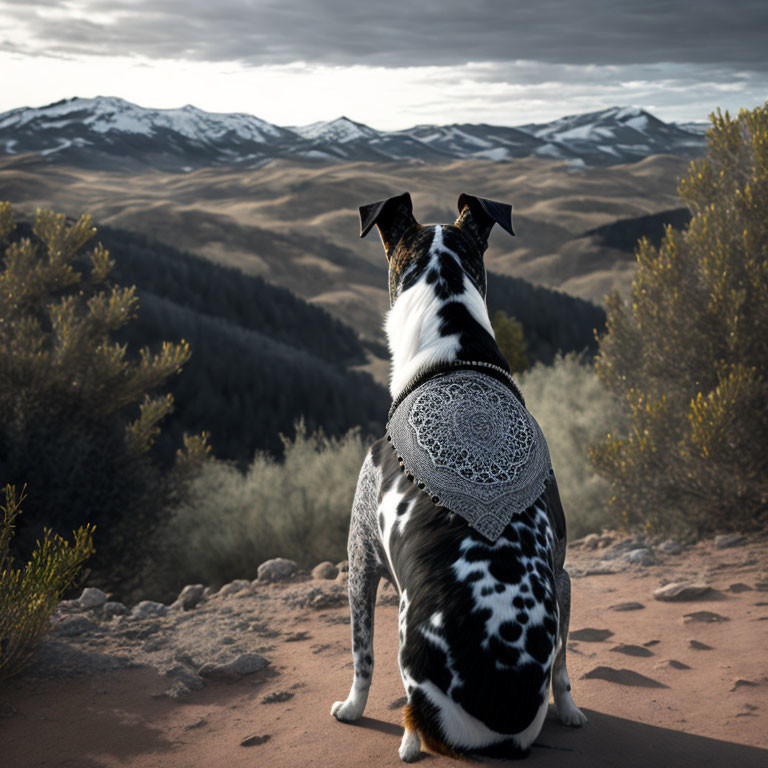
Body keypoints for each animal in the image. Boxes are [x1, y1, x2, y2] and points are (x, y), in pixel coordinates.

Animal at [330, 194, 588, 760]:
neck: (454, 348)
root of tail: (498, 717)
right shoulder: (563, 572)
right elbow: (563, 668)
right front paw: (570, 707)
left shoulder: (361, 557)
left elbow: (361, 657)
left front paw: (352, 708)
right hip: (560, 583)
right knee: (558, 666)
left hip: (407, 622)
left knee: (408, 713)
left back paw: (408, 738)